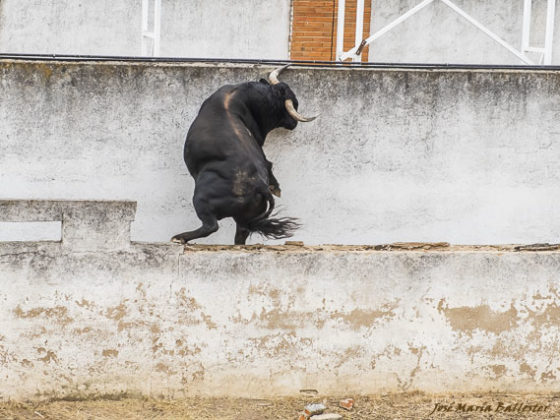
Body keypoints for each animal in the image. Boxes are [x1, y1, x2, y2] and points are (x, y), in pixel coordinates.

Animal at [172, 66, 316, 246]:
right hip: (244, 218)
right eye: (294, 103)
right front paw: (276, 187)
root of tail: (259, 185)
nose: (294, 123)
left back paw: (179, 237)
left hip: (201, 199)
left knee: (211, 226)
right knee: (241, 233)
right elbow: (268, 162)